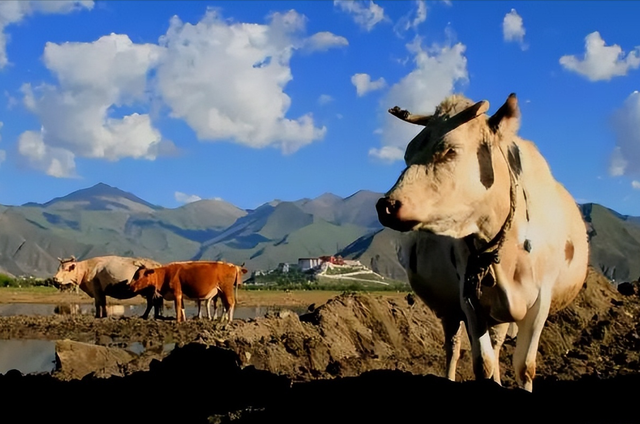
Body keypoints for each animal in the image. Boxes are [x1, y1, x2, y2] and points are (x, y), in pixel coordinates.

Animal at [376, 94, 592, 392]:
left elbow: (525, 366)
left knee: (498, 343)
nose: (386, 205)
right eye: (408, 154)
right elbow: (483, 365)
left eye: (450, 150)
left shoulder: (541, 301)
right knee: (454, 346)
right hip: (450, 309)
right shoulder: (469, 300)